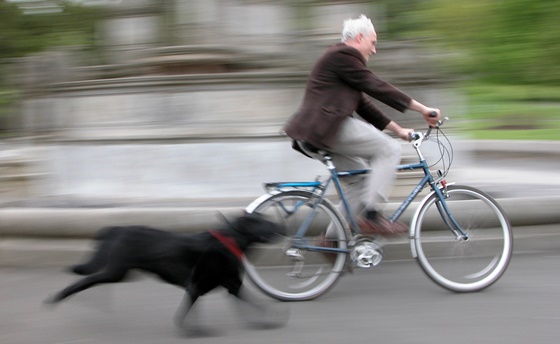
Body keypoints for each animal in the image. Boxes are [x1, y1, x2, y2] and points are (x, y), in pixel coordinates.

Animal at [44, 212, 284, 328]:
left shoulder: (231, 285)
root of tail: (117, 228)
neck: (230, 240)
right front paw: (193, 331)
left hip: (119, 273)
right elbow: (187, 312)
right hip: (115, 273)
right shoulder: (197, 285)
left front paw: (264, 322)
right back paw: (57, 297)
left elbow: (254, 304)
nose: (281, 225)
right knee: (85, 281)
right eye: (262, 221)